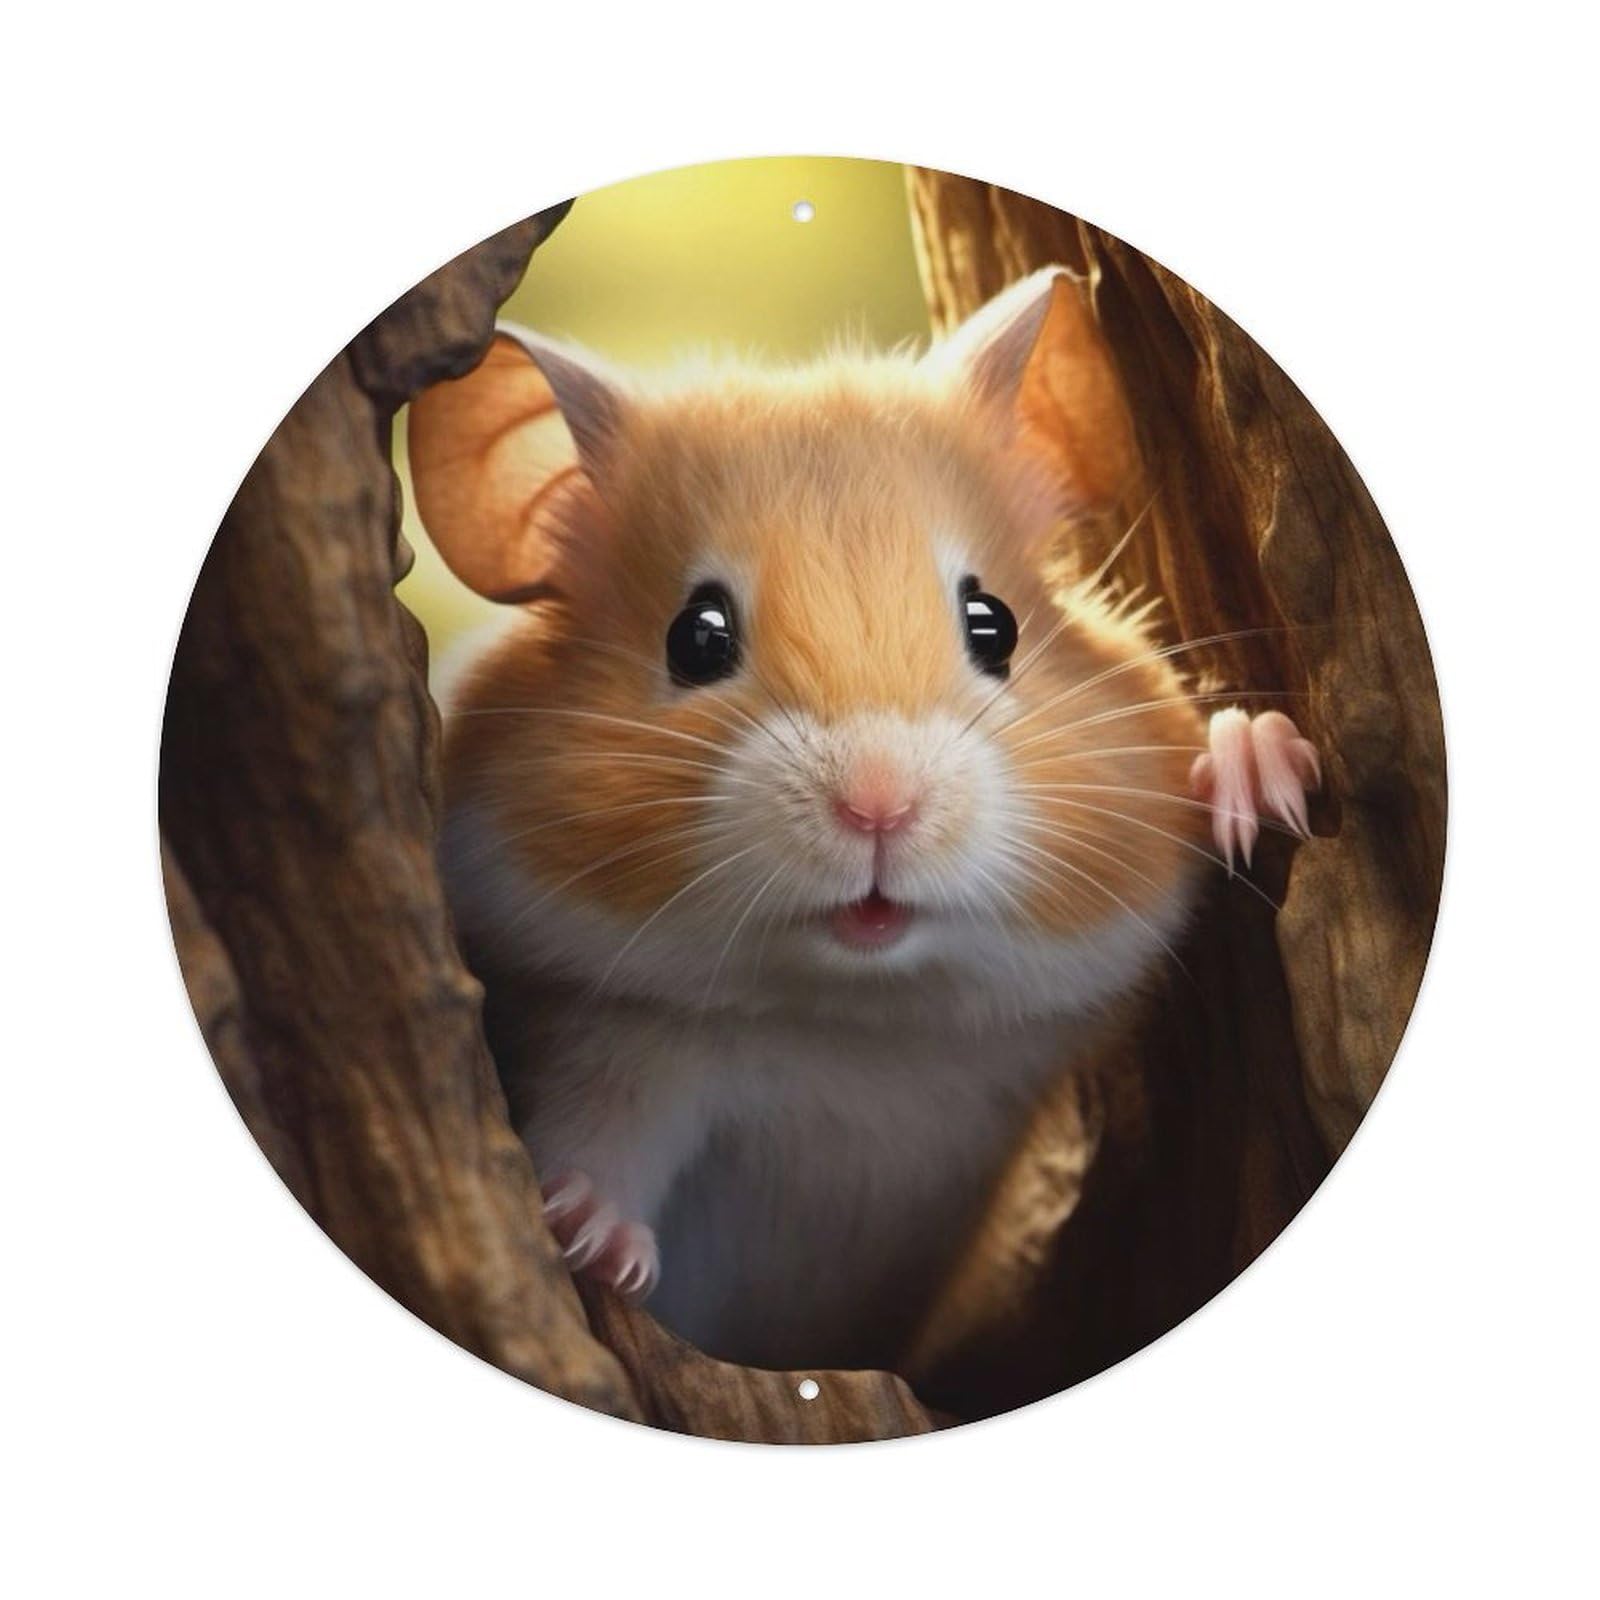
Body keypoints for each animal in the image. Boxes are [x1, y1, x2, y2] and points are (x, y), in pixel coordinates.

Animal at [407, 267, 1320, 1372]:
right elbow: (598, 1140)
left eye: (993, 625)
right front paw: (585, 1237)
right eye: (695, 638)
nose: (878, 804)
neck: (856, 1021)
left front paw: (1264, 768)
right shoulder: (615, 1045)